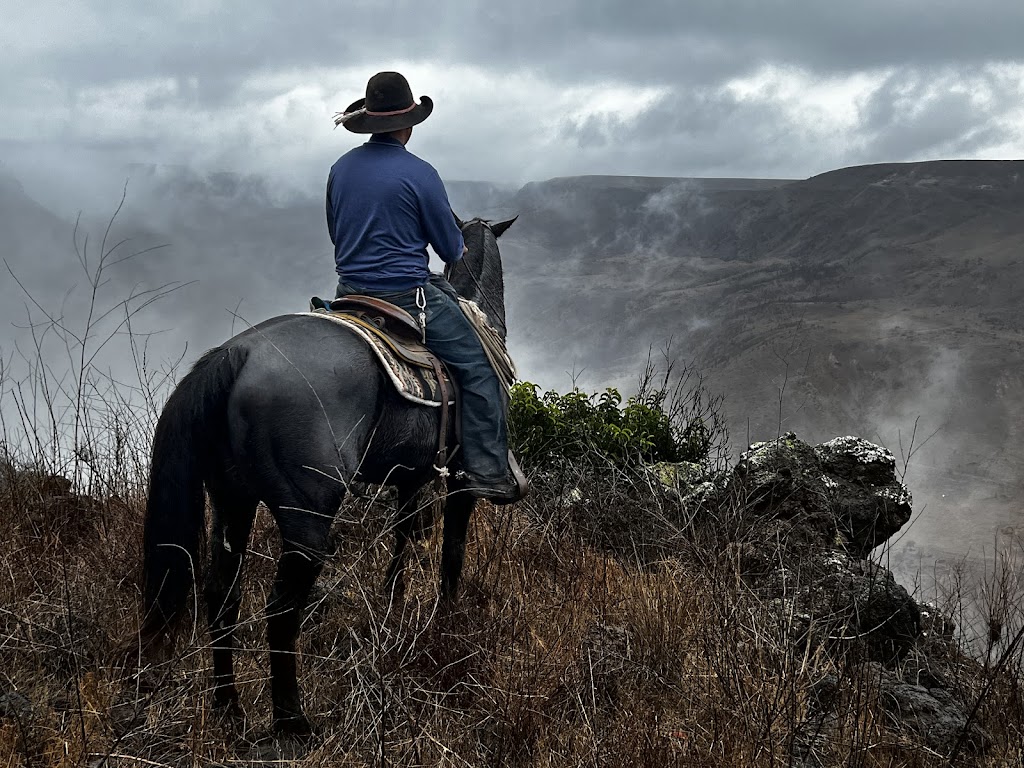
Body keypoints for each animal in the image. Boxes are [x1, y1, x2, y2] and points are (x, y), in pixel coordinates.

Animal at [140, 215, 516, 733]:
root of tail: (234, 356)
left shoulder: (409, 478)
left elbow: (402, 541)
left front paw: (393, 610)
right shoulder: (460, 479)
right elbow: (452, 554)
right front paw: (447, 621)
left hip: (232, 500)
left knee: (222, 594)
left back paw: (229, 708)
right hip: (307, 519)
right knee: (280, 611)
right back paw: (291, 722)